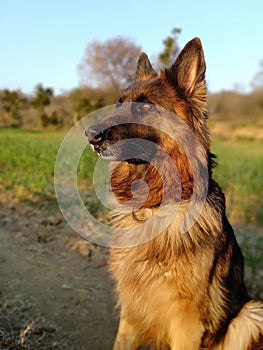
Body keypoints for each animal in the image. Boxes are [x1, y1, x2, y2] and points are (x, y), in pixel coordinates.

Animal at [85, 38, 262, 350]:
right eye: (119, 103)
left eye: (145, 107)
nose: (90, 134)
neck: (154, 205)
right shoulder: (132, 311)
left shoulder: (188, 322)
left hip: (251, 314)